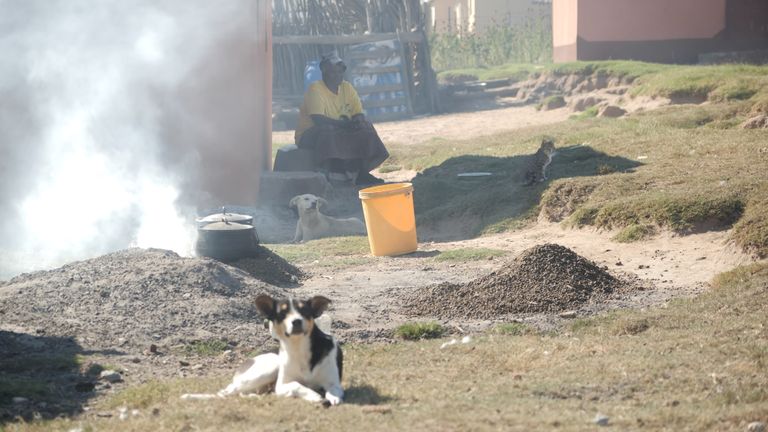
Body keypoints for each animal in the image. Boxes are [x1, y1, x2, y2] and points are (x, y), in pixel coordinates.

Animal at [182, 294, 344, 404]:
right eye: (282, 314)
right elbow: (297, 385)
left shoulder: (334, 383)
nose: (297, 321)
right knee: (225, 392)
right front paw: (314, 395)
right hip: (271, 365)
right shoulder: (282, 385)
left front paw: (330, 397)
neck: (299, 347)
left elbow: (334, 392)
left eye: (305, 311)